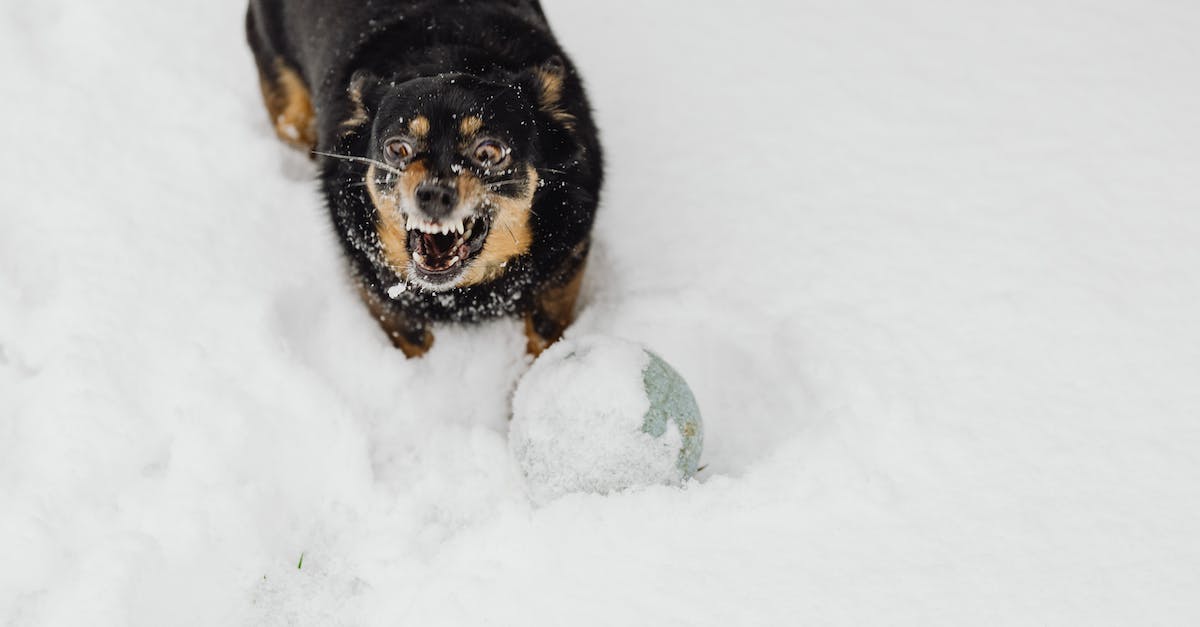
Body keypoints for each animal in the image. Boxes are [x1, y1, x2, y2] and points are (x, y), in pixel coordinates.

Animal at [246, 0, 600, 355]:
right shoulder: (375, 284)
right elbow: (411, 334)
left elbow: (545, 332)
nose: (433, 194)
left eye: (490, 152)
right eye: (397, 149)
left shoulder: (566, 264)